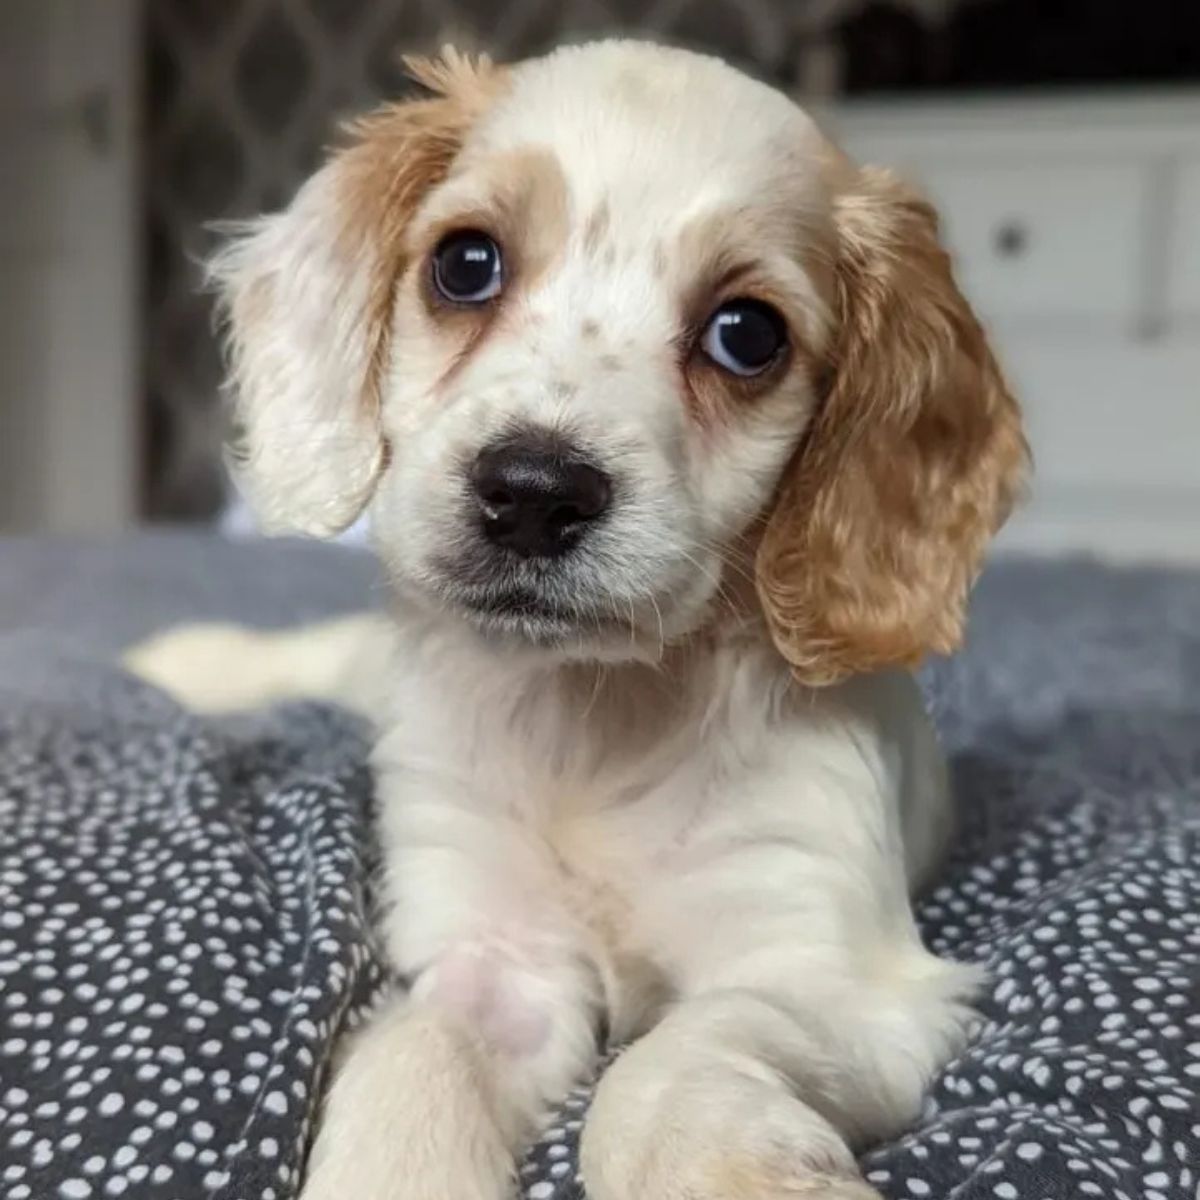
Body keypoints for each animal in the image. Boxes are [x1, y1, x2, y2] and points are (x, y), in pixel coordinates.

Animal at [133, 37, 1032, 1200]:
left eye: (748, 335)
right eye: (466, 264)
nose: (531, 492)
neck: (597, 722)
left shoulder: (836, 974)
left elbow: (664, 1058)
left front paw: (725, 1166)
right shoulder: (495, 962)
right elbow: (410, 1062)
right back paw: (179, 664)